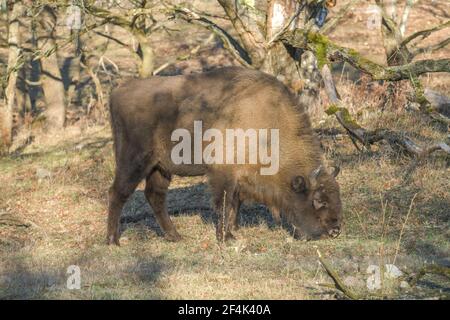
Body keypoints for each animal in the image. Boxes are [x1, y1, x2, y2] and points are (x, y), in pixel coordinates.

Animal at [107, 67, 342, 245]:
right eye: (318, 200)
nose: (335, 230)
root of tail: (118, 91)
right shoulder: (223, 173)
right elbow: (224, 203)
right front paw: (226, 237)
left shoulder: (239, 177)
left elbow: (235, 203)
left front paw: (232, 230)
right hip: (134, 161)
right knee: (118, 193)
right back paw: (112, 240)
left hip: (160, 168)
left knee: (154, 196)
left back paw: (176, 237)